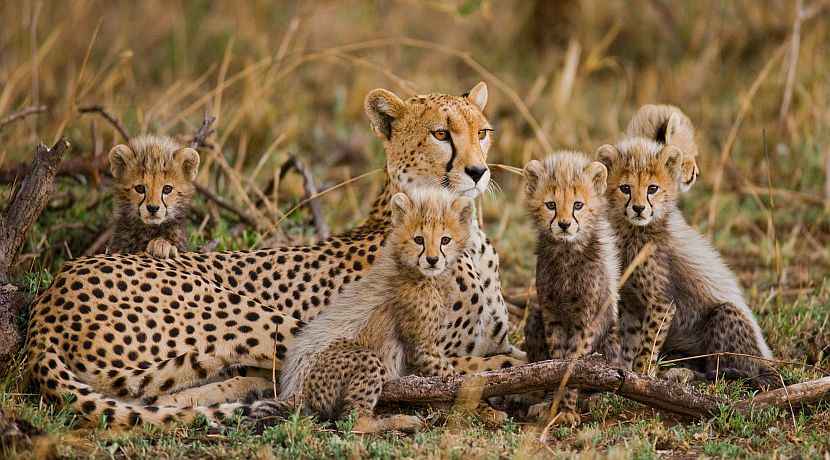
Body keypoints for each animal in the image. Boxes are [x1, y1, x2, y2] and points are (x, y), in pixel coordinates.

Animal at [280, 188, 474, 433]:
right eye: (419, 239)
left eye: (445, 240)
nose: (432, 260)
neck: (415, 272)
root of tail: (293, 390)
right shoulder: (423, 347)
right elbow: (454, 378)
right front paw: (486, 408)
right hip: (363, 359)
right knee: (354, 421)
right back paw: (399, 421)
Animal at [521, 151, 621, 426]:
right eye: (550, 205)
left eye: (578, 205)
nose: (564, 225)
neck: (567, 252)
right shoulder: (551, 315)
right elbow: (555, 363)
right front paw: (552, 405)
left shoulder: (585, 321)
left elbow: (574, 366)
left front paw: (565, 409)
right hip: (533, 320)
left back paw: (598, 399)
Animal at [596, 137, 778, 389]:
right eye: (625, 188)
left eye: (652, 188)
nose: (639, 208)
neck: (633, 232)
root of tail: (767, 361)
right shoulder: (630, 303)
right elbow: (630, 341)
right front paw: (626, 372)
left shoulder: (662, 303)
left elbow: (647, 345)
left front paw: (641, 376)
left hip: (726, 317)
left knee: (731, 372)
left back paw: (688, 374)